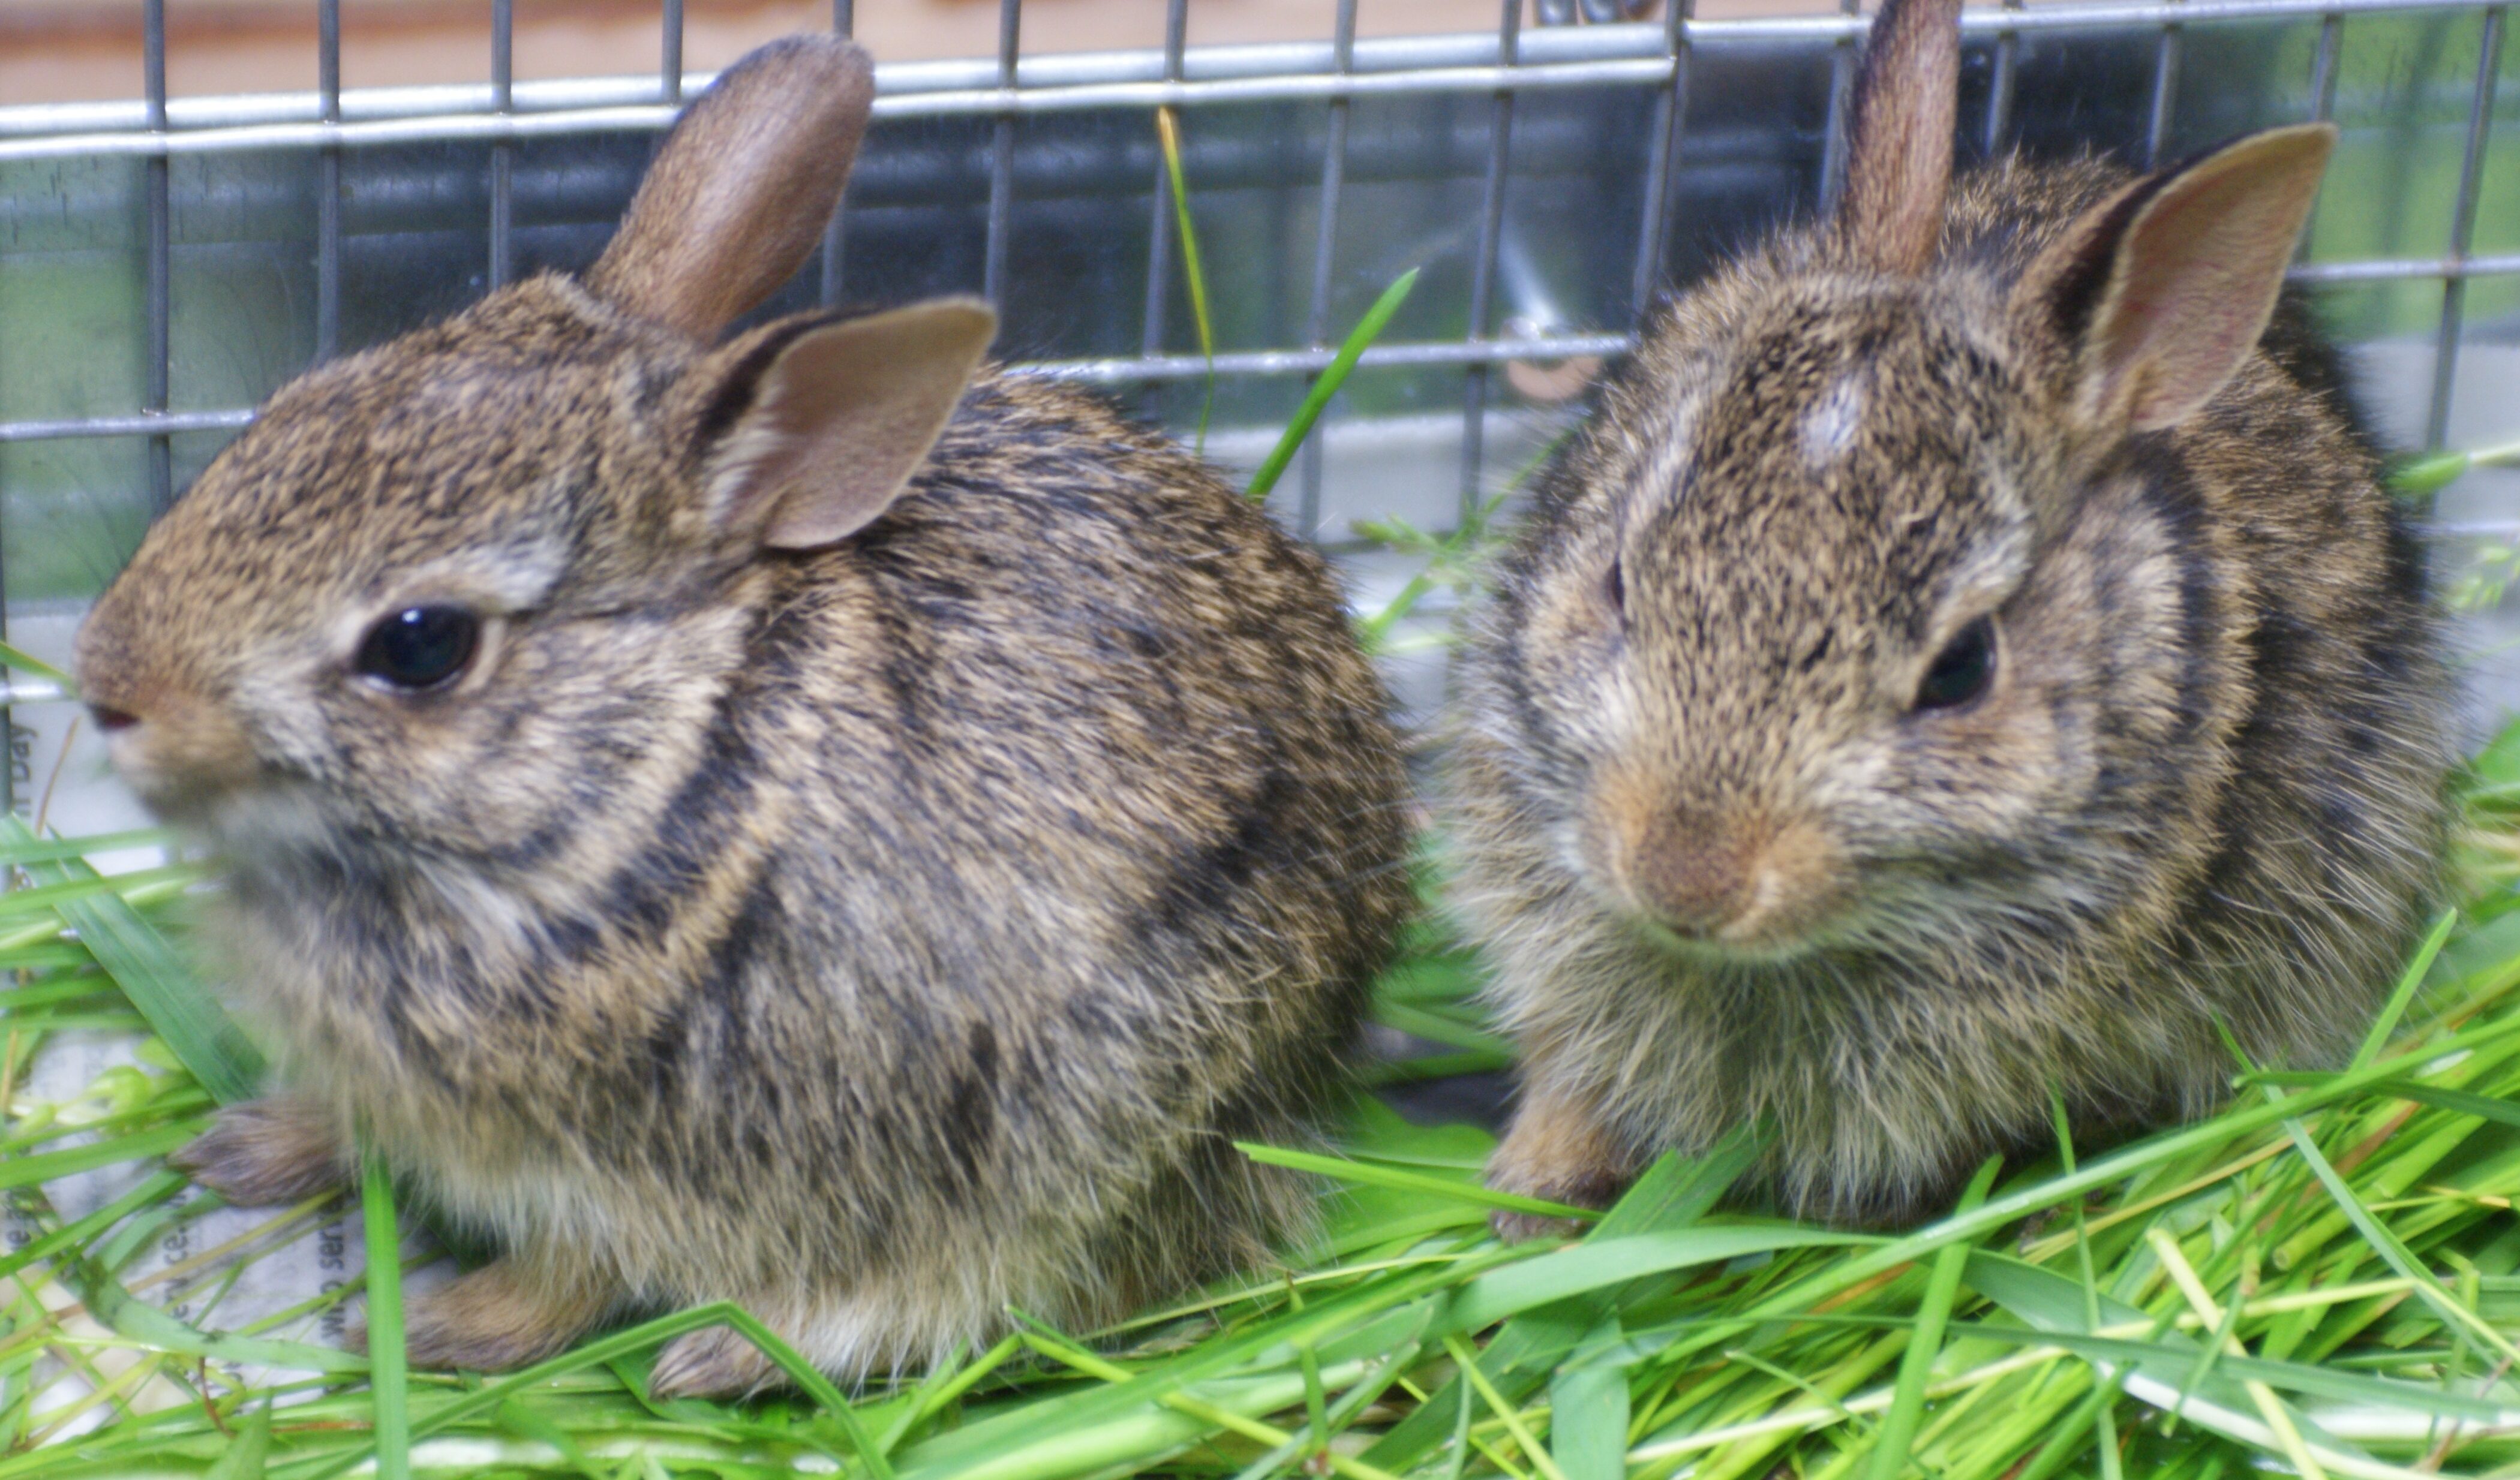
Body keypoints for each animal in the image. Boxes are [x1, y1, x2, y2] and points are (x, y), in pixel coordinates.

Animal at [73, 37, 1421, 1401]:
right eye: (296, 405)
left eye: (421, 643)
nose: (109, 687)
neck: (654, 763)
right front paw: (249, 1147)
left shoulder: (637, 1169)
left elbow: (572, 1276)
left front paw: (448, 1331)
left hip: (1115, 1116)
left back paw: (727, 1354)